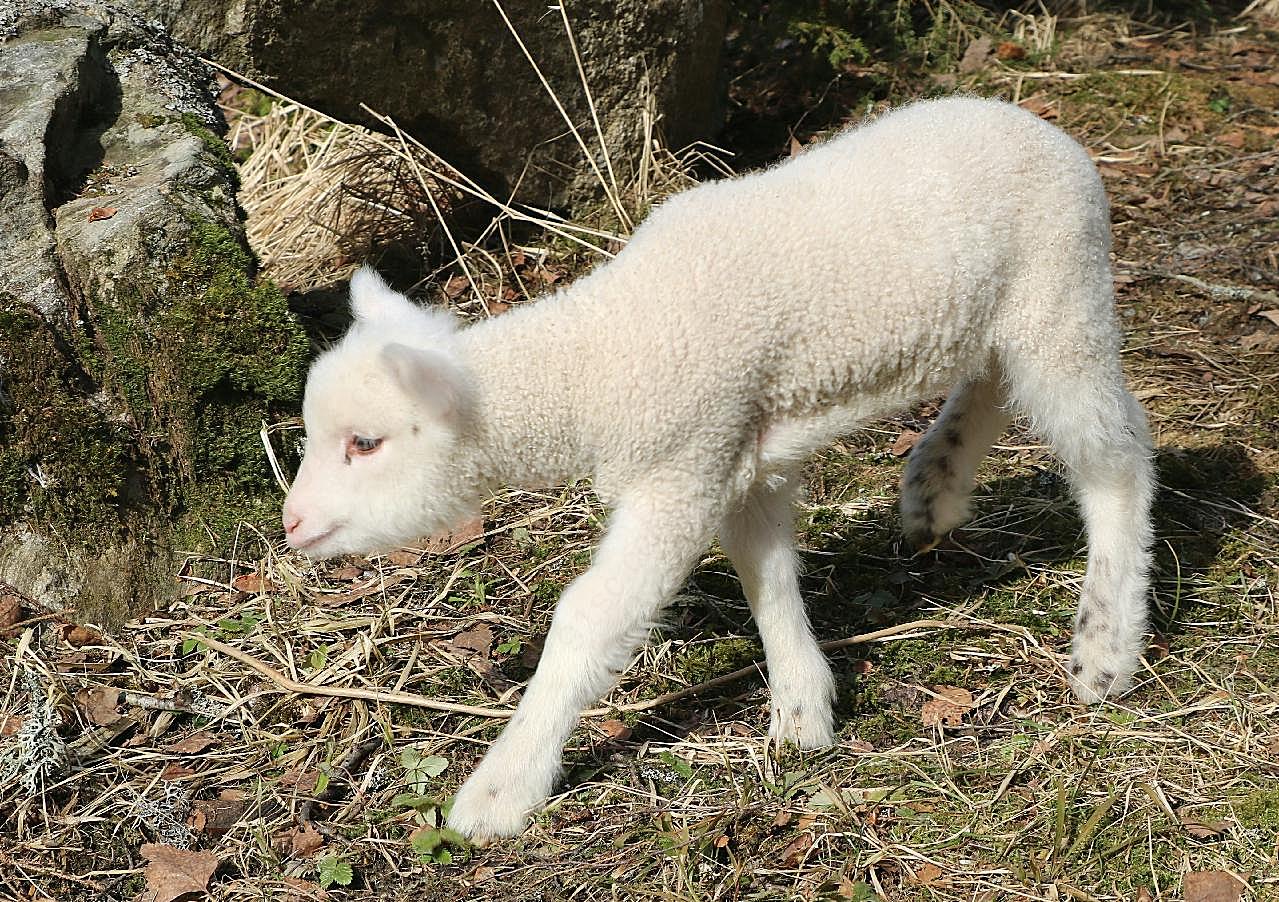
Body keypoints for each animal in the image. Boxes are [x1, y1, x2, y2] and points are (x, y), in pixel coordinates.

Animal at [282, 98, 1161, 844]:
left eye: (365, 444)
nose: (291, 525)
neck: (598, 359)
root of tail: (1045, 128)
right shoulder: (738, 453)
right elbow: (764, 573)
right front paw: (802, 709)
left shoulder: (685, 463)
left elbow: (591, 618)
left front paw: (500, 790)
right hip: (997, 313)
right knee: (988, 383)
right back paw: (934, 487)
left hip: (1061, 297)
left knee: (1117, 458)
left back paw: (1106, 645)